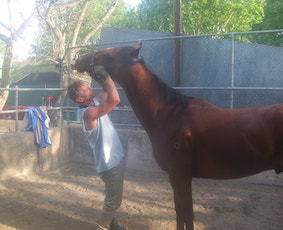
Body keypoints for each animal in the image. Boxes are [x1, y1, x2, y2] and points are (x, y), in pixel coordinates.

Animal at [74, 43, 282, 230]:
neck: (170, 114)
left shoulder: (181, 177)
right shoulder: (174, 177)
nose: (79, 59)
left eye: (109, 54)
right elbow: (179, 212)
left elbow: (187, 214)